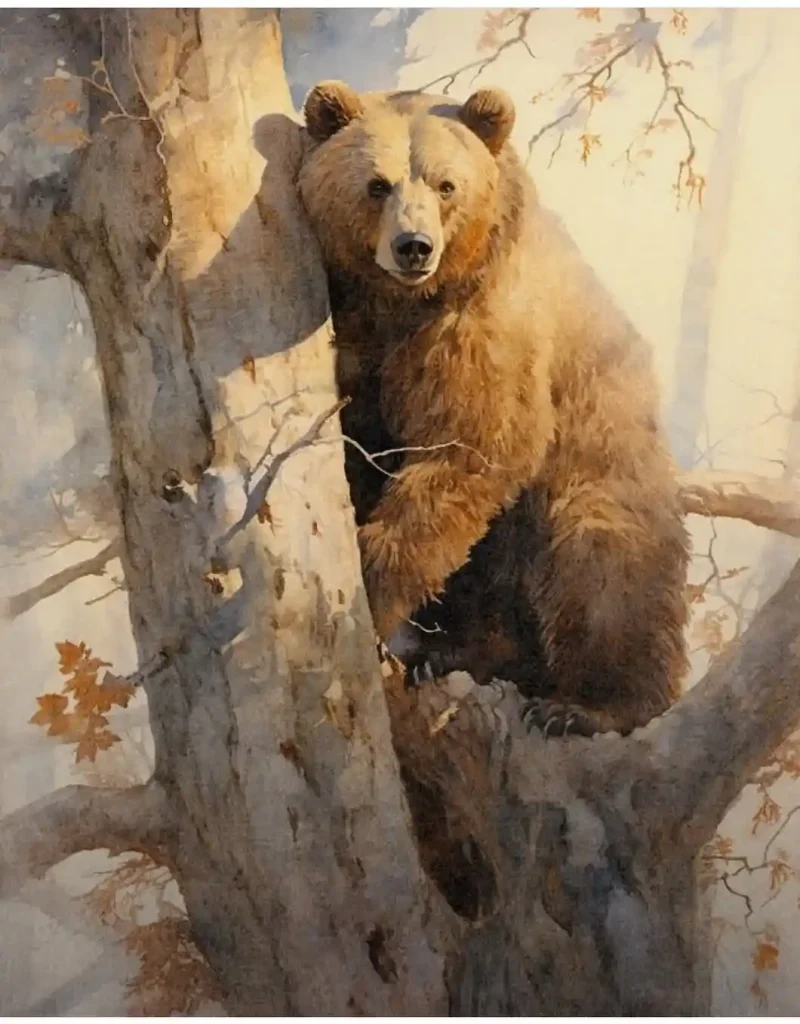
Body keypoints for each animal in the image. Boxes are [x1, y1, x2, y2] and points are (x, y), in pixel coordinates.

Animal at [297, 80, 691, 737]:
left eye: (446, 184)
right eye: (377, 184)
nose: (413, 247)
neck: (403, 304)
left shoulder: (485, 319)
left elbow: (474, 441)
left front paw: (371, 590)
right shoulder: (354, 324)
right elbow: (361, 445)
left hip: (602, 470)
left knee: (602, 567)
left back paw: (586, 705)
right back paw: (453, 654)